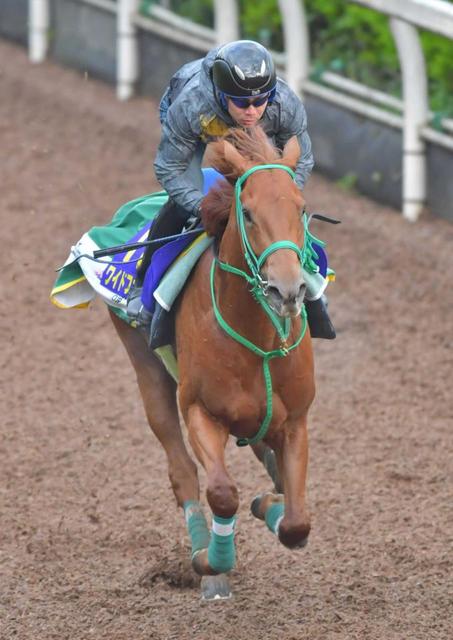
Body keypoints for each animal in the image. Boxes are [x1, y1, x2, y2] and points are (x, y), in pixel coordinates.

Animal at [109, 126, 314, 600]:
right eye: (249, 213)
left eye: (301, 210)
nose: (287, 290)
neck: (258, 340)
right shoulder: (200, 409)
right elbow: (222, 492)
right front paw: (210, 561)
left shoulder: (295, 419)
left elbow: (296, 523)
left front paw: (272, 506)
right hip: (147, 371)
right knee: (182, 471)